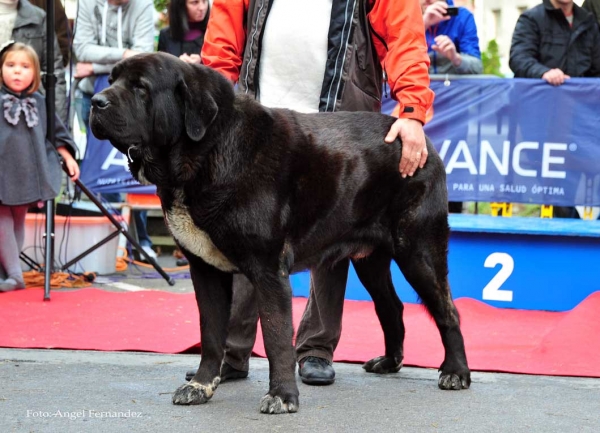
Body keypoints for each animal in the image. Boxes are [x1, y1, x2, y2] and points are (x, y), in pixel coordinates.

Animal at [91, 52, 472, 414]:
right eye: (111, 80)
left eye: (141, 87)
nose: (96, 101)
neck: (207, 149)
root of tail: (421, 141)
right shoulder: (206, 270)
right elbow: (211, 333)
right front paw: (200, 385)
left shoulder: (268, 270)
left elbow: (276, 337)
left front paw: (283, 396)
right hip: (371, 260)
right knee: (391, 307)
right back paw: (390, 362)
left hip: (418, 251)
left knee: (447, 311)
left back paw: (455, 372)